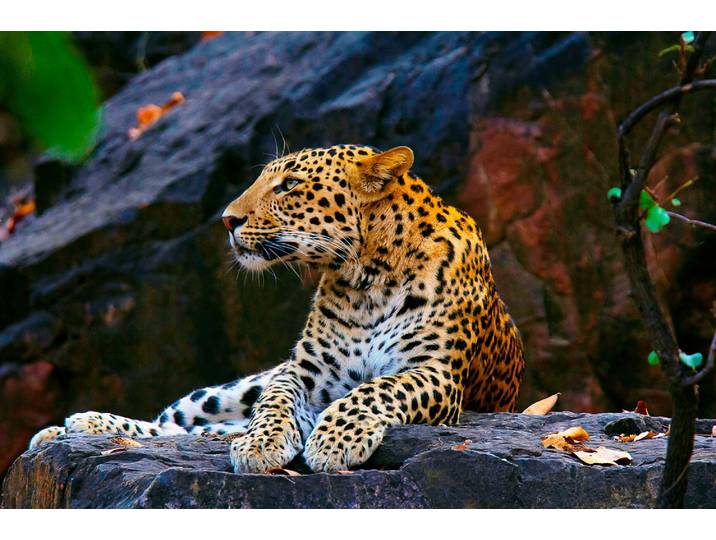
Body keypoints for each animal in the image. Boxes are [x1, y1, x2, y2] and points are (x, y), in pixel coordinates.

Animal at [29, 144, 525, 473]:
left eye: (289, 186)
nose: (227, 220)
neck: (368, 278)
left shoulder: (435, 372)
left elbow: (376, 389)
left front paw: (333, 440)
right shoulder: (302, 372)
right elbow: (275, 401)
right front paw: (261, 444)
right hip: (225, 391)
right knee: (176, 423)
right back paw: (77, 426)